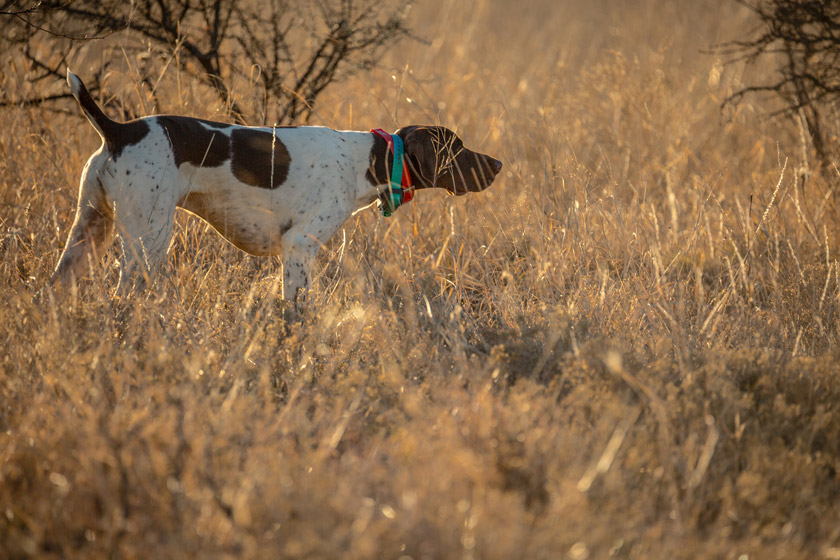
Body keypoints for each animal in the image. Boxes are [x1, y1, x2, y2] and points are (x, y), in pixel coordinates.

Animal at [52, 70, 502, 310]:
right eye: (458, 148)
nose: (498, 164)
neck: (367, 160)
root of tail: (119, 130)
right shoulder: (299, 245)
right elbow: (297, 309)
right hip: (149, 239)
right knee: (125, 293)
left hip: (86, 232)